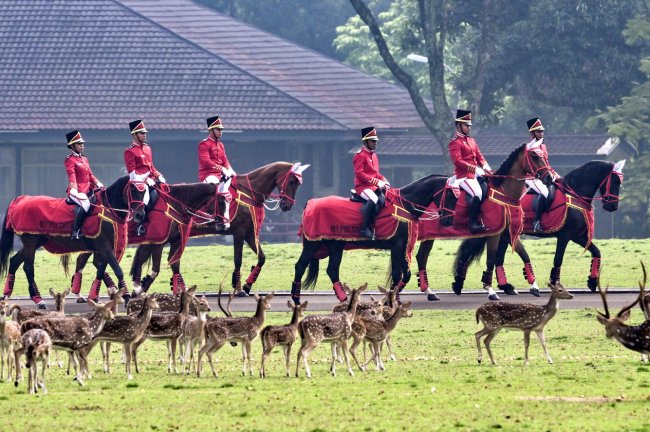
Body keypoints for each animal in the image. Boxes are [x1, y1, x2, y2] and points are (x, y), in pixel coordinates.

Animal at [0, 176, 144, 308]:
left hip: (36, 242)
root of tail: (20, 199)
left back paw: (6, 295)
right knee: (28, 268)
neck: (108, 209)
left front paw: (95, 296)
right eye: (133, 189)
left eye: (144, 191)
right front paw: (126, 296)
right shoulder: (104, 246)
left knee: (14, 261)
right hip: (30, 241)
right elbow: (117, 270)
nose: (140, 215)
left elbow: (100, 269)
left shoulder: (103, 248)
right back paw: (38, 300)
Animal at [71, 181, 218, 300]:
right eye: (221, 201)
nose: (220, 223)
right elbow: (153, 268)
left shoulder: (174, 242)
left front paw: (182, 290)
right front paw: (138, 289)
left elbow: (174, 265)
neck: (175, 204)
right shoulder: (156, 243)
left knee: (89, 261)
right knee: (87, 261)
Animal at [292, 174, 454, 306]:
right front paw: (392, 299)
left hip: (335, 245)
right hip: (312, 244)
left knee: (332, 269)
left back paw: (344, 299)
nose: (448, 221)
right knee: (300, 266)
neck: (405, 205)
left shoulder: (401, 247)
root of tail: (310, 203)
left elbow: (404, 275)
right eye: (450, 194)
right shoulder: (397, 246)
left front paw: (394, 297)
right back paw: (296, 299)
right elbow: (399, 274)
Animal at [416, 142, 552, 300]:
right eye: (534, 156)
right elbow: (491, 260)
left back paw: (429, 292)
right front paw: (491, 290)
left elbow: (524, 254)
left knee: (421, 257)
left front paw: (534, 286)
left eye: (544, 156)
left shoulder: (506, 232)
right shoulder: (494, 234)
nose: (549, 177)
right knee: (422, 257)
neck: (503, 192)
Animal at [448, 160, 620, 296]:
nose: (612, 206)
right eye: (614, 181)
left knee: (497, 258)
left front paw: (592, 281)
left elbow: (597, 252)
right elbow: (558, 259)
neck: (574, 194)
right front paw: (556, 284)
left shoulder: (578, 236)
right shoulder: (565, 236)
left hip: (504, 234)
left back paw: (504, 286)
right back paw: (461, 283)